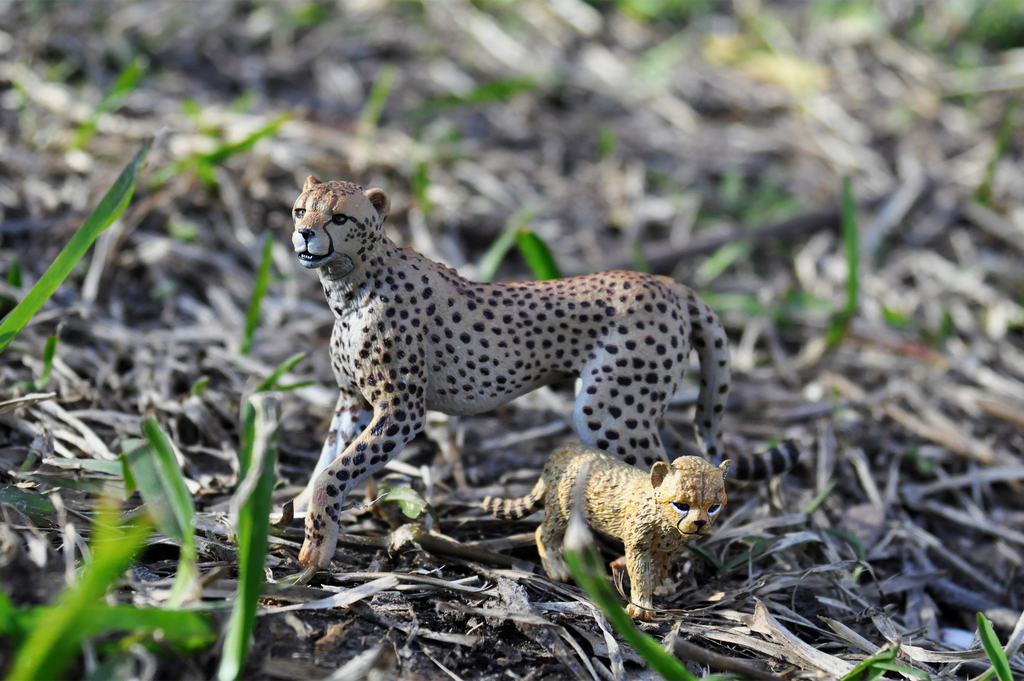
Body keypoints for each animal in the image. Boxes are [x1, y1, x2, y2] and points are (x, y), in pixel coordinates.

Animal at [290, 176, 799, 569]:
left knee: (658, 472)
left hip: (608, 411)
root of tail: (669, 282)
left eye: (339, 217)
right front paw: (294, 515)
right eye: (300, 211)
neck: (353, 283)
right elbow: (323, 462)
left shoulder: (400, 413)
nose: (305, 236)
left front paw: (317, 548)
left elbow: (334, 473)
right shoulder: (352, 402)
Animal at [482, 442, 743, 620]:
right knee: (543, 532)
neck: (665, 520)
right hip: (561, 511)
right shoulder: (637, 547)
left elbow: (661, 566)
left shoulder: (666, 548)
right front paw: (642, 607)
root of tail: (566, 448)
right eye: (682, 505)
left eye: (714, 507)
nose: (700, 523)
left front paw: (661, 585)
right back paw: (557, 568)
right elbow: (639, 577)